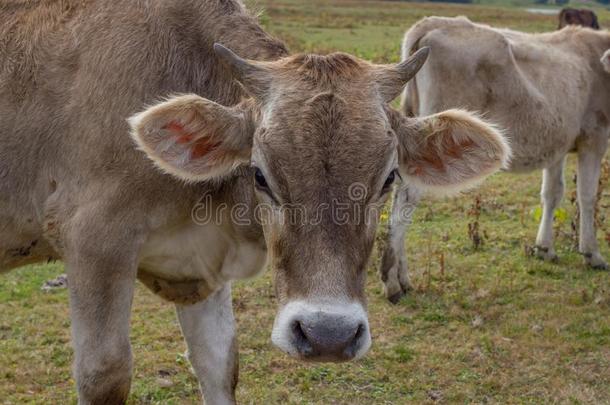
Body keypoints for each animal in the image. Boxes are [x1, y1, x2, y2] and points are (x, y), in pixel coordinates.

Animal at [1, 1, 508, 402]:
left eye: (389, 178)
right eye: (260, 174)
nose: (328, 335)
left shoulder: (199, 268)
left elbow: (220, 365)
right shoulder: (94, 242)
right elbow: (104, 374)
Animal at [380, 16, 608, 304]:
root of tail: (433, 23)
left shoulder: (557, 145)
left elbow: (552, 193)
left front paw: (545, 248)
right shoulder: (595, 138)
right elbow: (587, 197)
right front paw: (592, 253)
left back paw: (402, 277)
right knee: (405, 201)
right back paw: (392, 282)